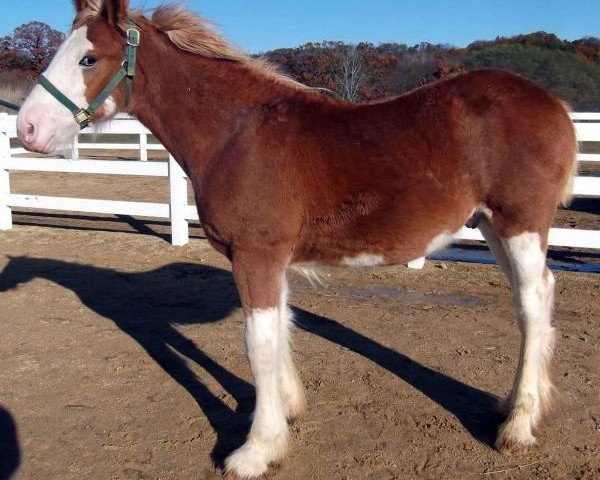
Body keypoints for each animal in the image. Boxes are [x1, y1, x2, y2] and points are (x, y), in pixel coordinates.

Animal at [14, 1, 576, 478]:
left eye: (89, 58)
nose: (27, 128)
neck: (236, 133)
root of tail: (555, 104)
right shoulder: (270, 260)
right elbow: (280, 328)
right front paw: (287, 412)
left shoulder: (255, 255)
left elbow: (257, 343)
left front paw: (255, 450)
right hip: (492, 226)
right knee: (534, 299)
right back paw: (511, 406)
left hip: (520, 224)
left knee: (531, 304)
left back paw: (517, 428)